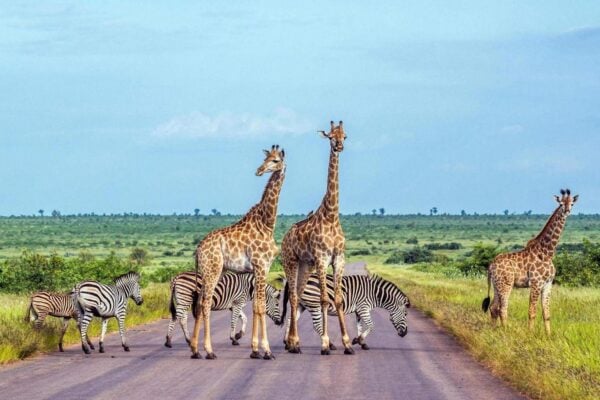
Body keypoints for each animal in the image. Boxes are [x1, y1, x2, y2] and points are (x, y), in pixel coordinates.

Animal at [191, 144, 288, 360]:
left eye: (275, 160)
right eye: (266, 159)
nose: (259, 170)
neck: (267, 223)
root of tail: (198, 249)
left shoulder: (260, 268)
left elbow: (257, 306)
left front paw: (255, 350)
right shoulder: (261, 265)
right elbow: (260, 306)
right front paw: (266, 350)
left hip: (209, 271)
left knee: (200, 302)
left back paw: (194, 349)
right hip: (212, 269)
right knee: (205, 303)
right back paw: (209, 351)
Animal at [282, 120, 356, 354]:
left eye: (345, 135)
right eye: (331, 136)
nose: (339, 146)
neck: (331, 215)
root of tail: (285, 237)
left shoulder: (338, 259)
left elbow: (338, 300)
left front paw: (347, 343)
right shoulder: (323, 259)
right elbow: (324, 299)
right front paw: (324, 343)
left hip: (306, 265)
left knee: (298, 294)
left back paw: (292, 342)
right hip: (291, 261)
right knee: (294, 297)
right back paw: (294, 342)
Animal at [482, 188, 576, 334]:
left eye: (572, 203)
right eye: (561, 204)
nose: (567, 211)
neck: (547, 252)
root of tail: (491, 266)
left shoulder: (548, 284)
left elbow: (546, 313)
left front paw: (548, 335)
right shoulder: (536, 283)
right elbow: (532, 312)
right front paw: (530, 334)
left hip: (497, 285)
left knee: (493, 307)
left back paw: (495, 330)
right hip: (506, 284)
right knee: (502, 308)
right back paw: (505, 331)